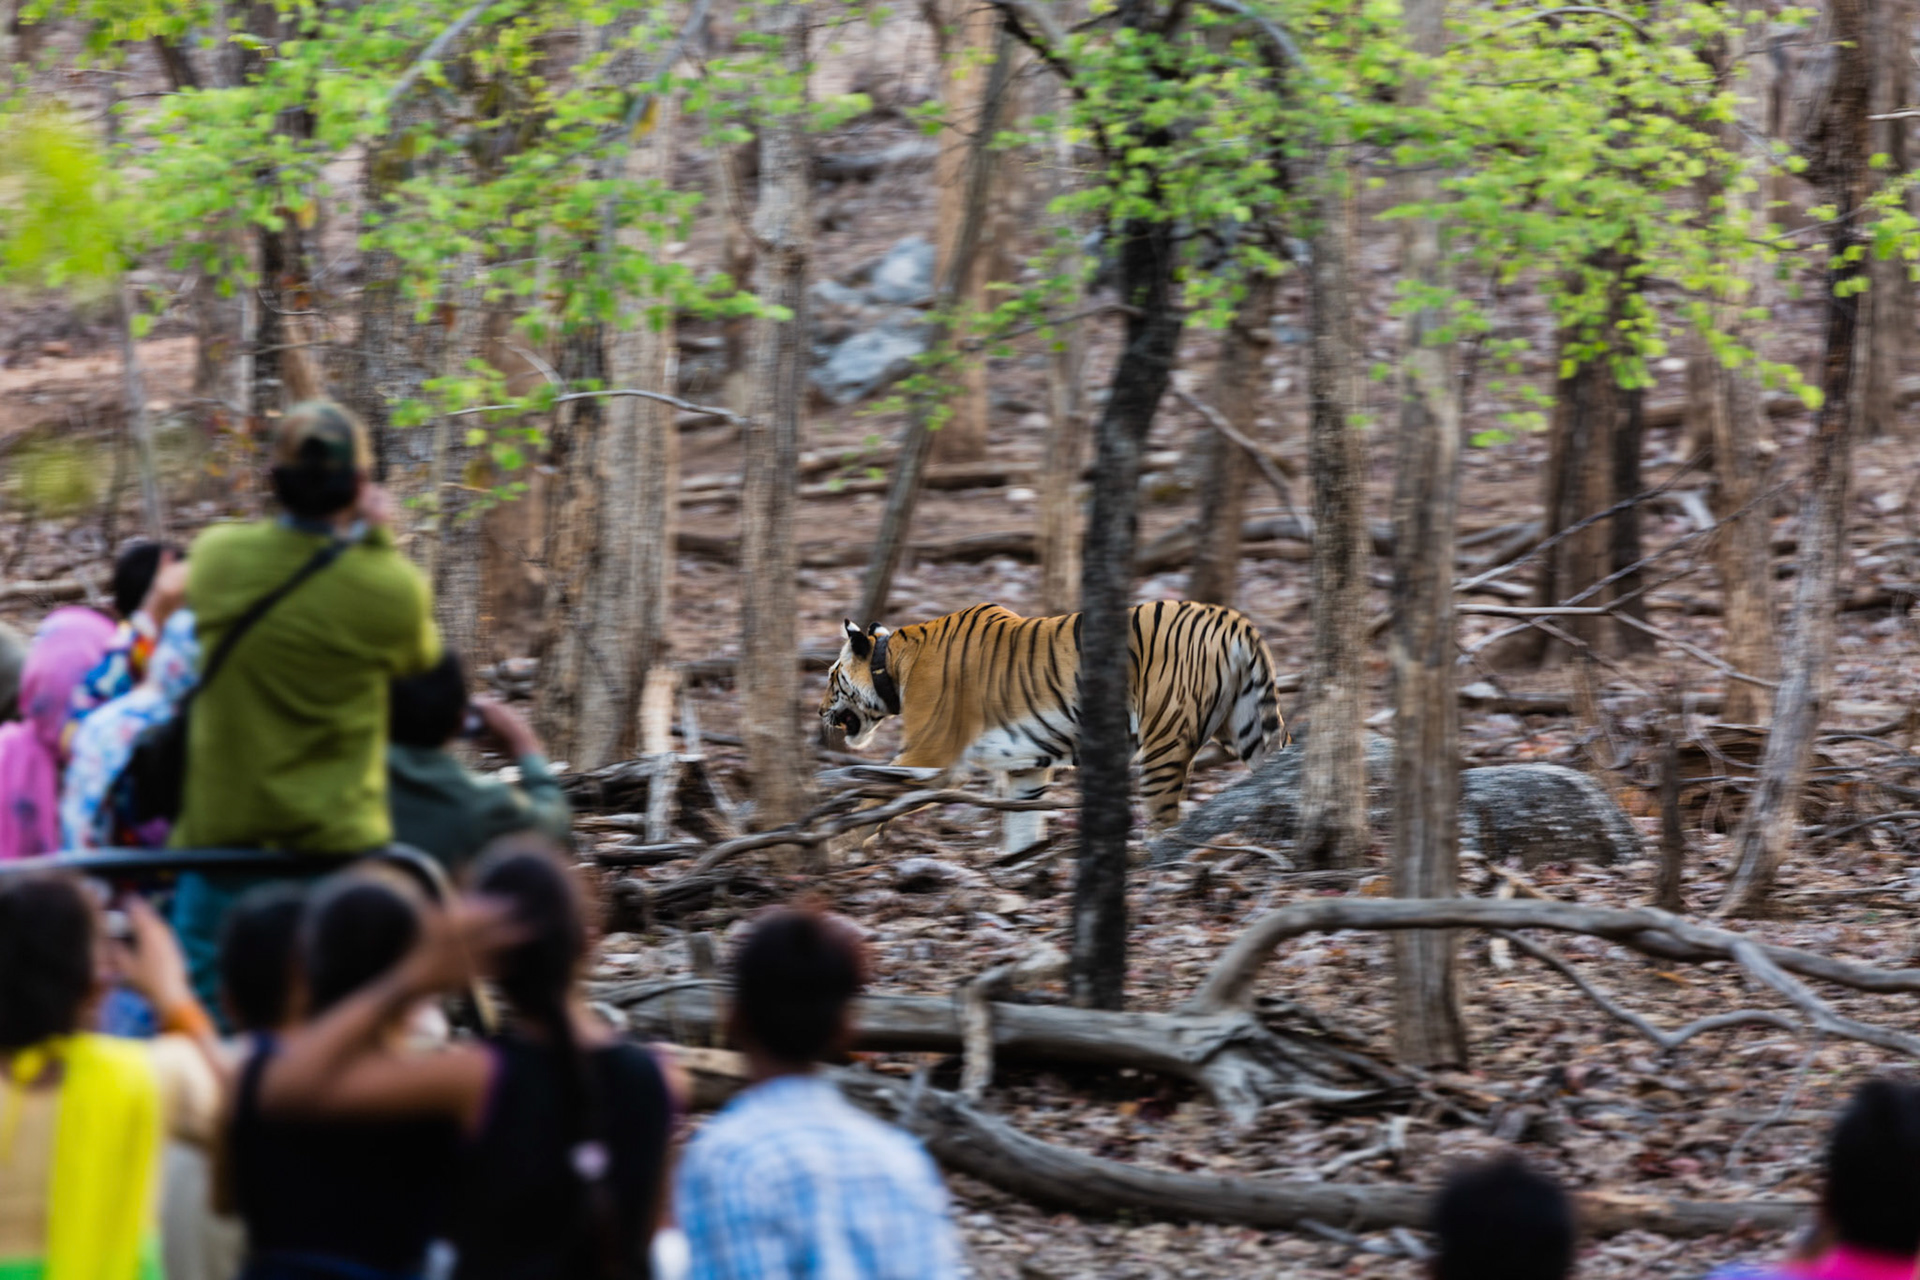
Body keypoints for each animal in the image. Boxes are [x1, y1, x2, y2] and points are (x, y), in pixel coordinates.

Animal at [820, 600, 1287, 853]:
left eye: (830, 677)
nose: (819, 711)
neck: (893, 664)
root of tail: (1233, 620)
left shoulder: (929, 755)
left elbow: (875, 795)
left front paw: (833, 846)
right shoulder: (1025, 765)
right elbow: (1023, 823)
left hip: (1164, 742)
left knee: (1165, 820)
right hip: (1248, 727)